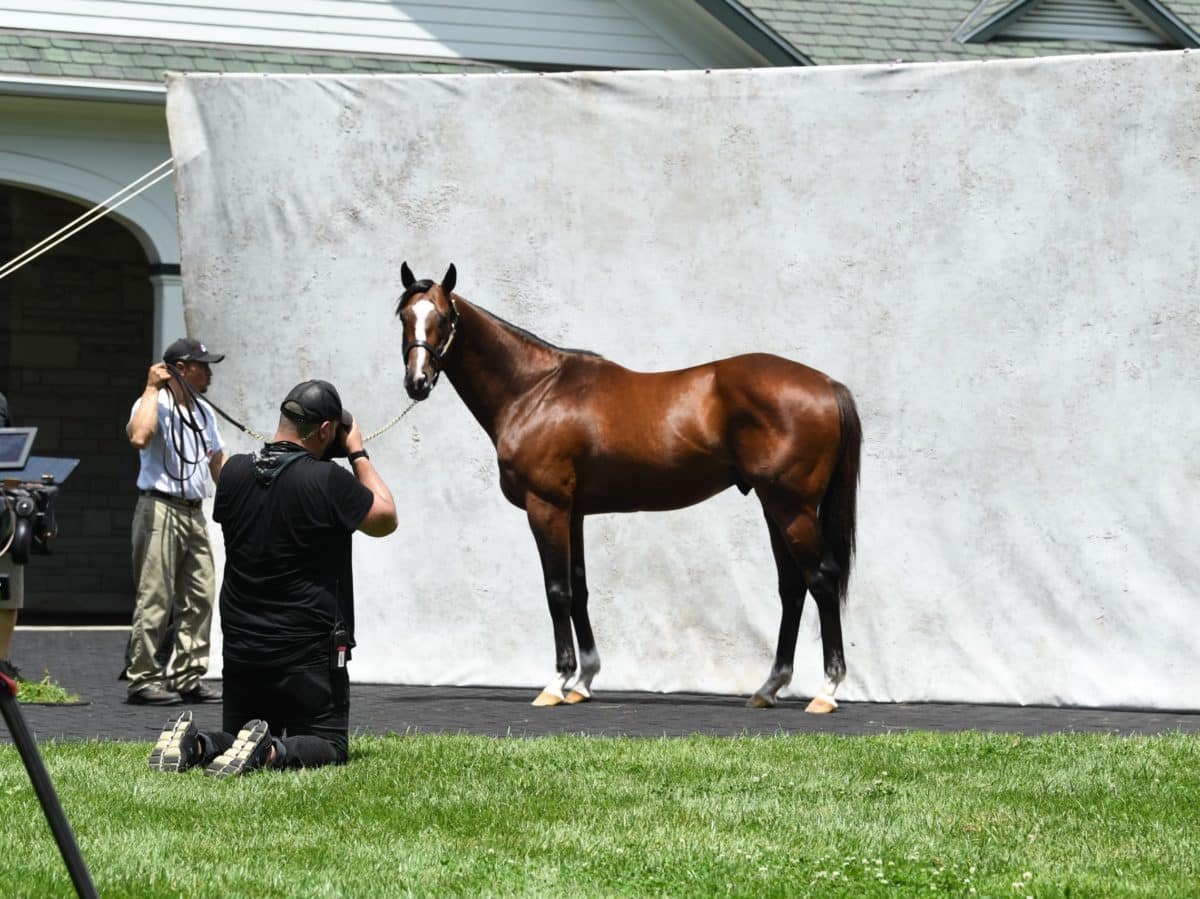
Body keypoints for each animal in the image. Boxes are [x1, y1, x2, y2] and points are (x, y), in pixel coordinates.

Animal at [398, 262, 859, 710]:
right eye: (404, 315)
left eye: (443, 317)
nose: (417, 383)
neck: (534, 391)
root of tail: (828, 385)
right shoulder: (573, 512)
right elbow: (580, 589)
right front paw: (583, 681)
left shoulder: (546, 507)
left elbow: (557, 591)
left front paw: (557, 682)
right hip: (774, 506)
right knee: (792, 587)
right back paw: (769, 687)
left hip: (793, 508)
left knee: (821, 580)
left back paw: (826, 691)